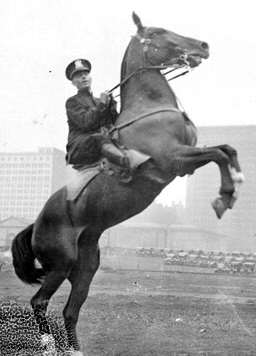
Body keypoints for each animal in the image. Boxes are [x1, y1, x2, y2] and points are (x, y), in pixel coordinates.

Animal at [11, 12, 244, 356]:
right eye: (158, 32)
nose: (203, 46)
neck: (149, 108)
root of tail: (35, 224)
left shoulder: (185, 162)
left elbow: (226, 150)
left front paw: (233, 186)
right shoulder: (173, 160)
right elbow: (218, 152)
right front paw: (224, 197)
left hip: (86, 266)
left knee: (70, 310)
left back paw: (75, 350)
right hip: (62, 263)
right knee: (39, 301)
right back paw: (49, 346)